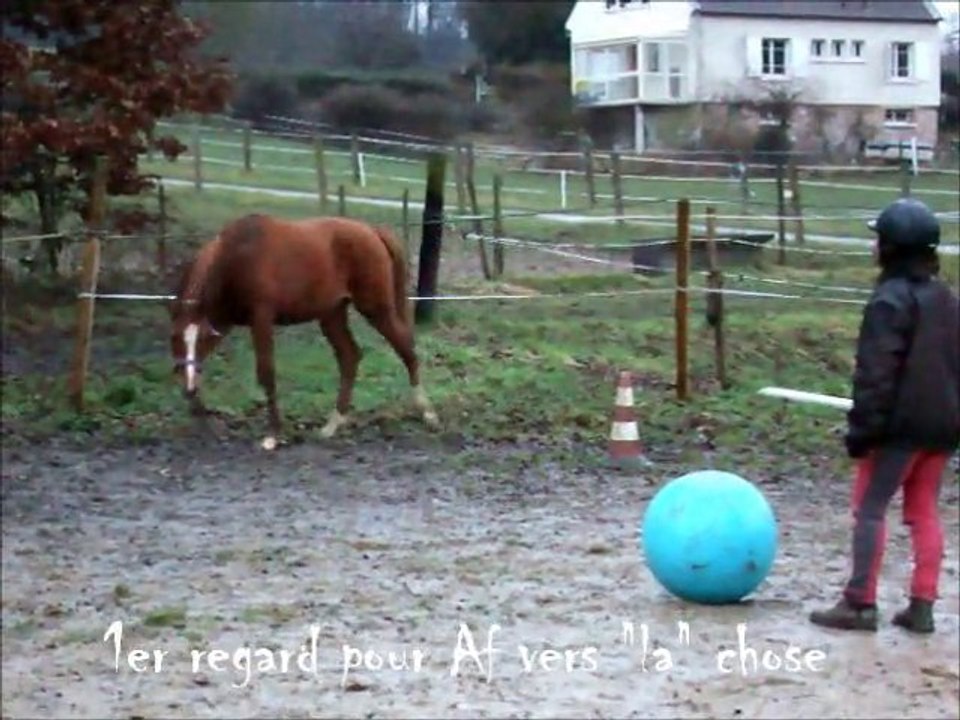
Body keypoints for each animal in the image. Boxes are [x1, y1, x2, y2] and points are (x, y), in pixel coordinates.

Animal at [167, 213, 438, 450]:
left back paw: (427, 413)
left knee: (406, 350)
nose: (188, 388)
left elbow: (266, 373)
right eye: (175, 338)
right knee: (350, 357)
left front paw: (273, 435)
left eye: (202, 338)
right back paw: (332, 425)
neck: (236, 259)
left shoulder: (261, 319)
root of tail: (372, 231)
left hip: (375, 309)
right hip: (332, 315)